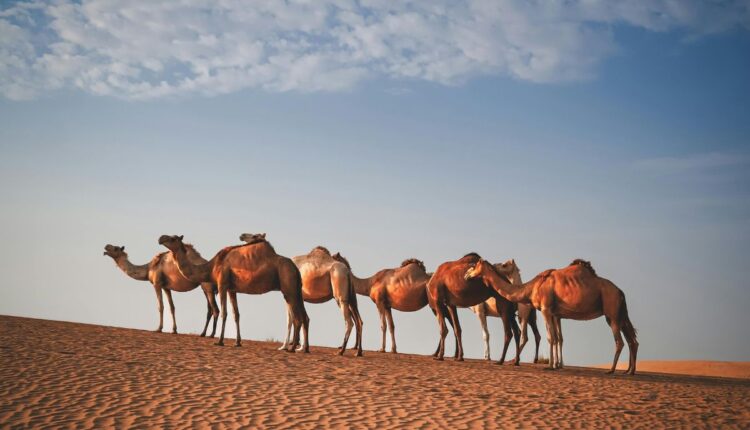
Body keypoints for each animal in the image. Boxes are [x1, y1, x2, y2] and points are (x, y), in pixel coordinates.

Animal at [158, 234, 309, 352]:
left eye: (172, 238)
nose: (160, 238)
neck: (212, 267)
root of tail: (295, 268)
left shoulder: (222, 284)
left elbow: (224, 313)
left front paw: (219, 341)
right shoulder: (232, 289)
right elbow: (236, 314)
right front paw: (237, 342)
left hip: (288, 287)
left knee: (297, 317)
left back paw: (292, 348)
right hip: (296, 289)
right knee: (304, 316)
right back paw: (304, 349)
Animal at [464, 258, 639, 374]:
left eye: (474, 266)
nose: (466, 274)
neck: (532, 287)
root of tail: (620, 292)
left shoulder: (546, 309)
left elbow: (551, 338)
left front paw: (549, 365)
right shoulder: (555, 313)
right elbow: (556, 338)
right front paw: (555, 365)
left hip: (612, 311)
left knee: (620, 341)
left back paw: (612, 370)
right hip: (619, 314)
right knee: (632, 340)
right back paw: (629, 371)